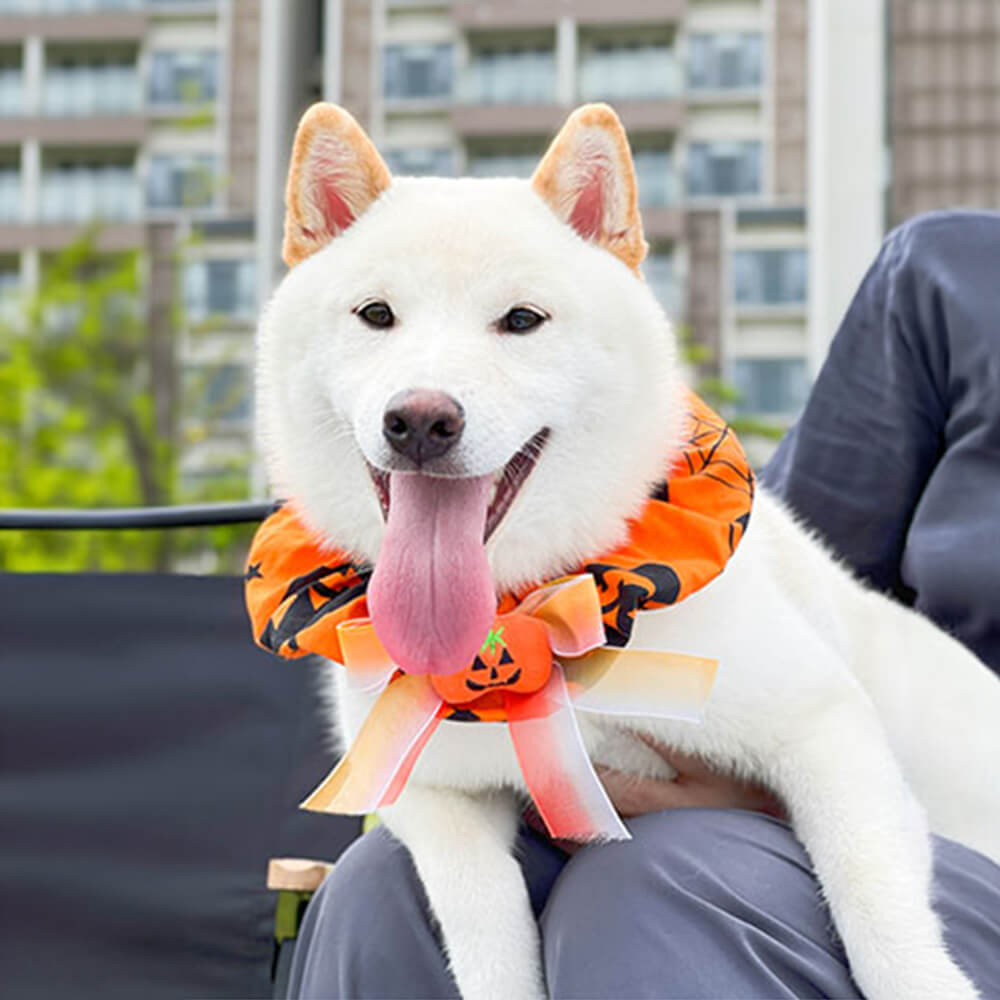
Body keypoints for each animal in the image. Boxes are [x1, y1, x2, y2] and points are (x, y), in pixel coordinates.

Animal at [258, 103, 1000, 1000]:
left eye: (522, 320)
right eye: (375, 314)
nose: (421, 420)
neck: (532, 608)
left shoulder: (824, 727)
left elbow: (877, 908)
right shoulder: (437, 798)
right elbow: (485, 937)